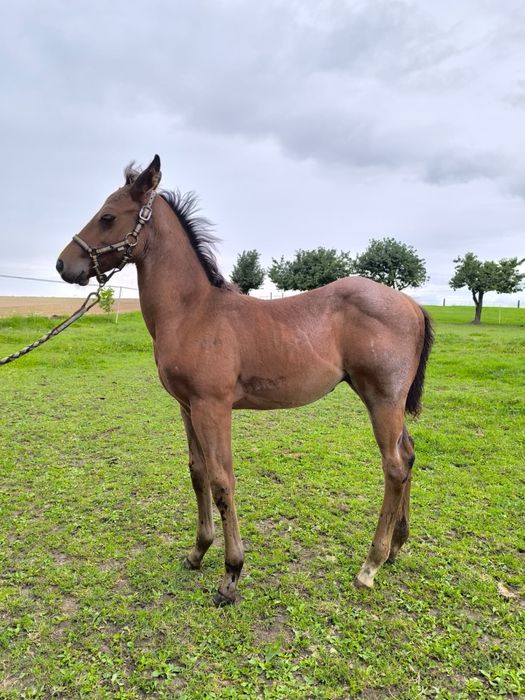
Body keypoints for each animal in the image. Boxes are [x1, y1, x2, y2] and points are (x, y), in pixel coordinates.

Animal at [57, 155, 433, 606]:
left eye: (109, 216)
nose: (64, 264)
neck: (193, 311)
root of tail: (411, 303)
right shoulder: (186, 406)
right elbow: (197, 471)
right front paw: (198, 552)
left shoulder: (213, 406)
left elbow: (222, 481)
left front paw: (231, 575)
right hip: (386, 401)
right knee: (408, 455)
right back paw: (396, 546)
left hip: (382, 399)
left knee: (394, 466)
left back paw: (370, 565)